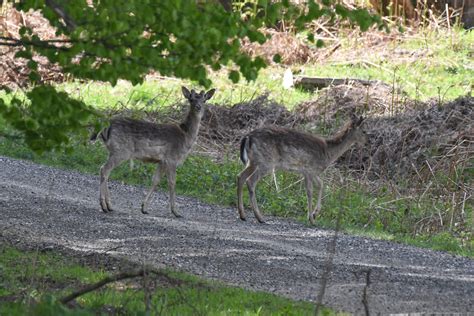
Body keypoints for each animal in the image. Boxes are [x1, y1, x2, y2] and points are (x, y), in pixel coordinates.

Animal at [92, 86, 215, 217]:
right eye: (191, 99)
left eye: (204, 100)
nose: (198, 106)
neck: (186, 136)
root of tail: (106, 127)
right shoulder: (172, 158)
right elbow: (172, 182)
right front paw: (176, 211)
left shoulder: (161, 161)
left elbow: (155, 181)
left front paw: (144, 208)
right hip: (121, 151)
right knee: (104, 169)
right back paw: (104, 205)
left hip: (113, 151)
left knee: (105, 170)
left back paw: (109, 206)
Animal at [237, 115, 366, 223]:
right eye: (364, 131)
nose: (366, 142)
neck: (328, 152)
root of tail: (248, 137)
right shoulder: (309, 169)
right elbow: (310, 191)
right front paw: (311, 219)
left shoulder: (311, 172)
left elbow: (321, 185)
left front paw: (314, 214)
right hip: (266, 162)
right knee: (250, 181)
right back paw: (259, 217)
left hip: (253, 161)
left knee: (240, 176)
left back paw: (243, 215)